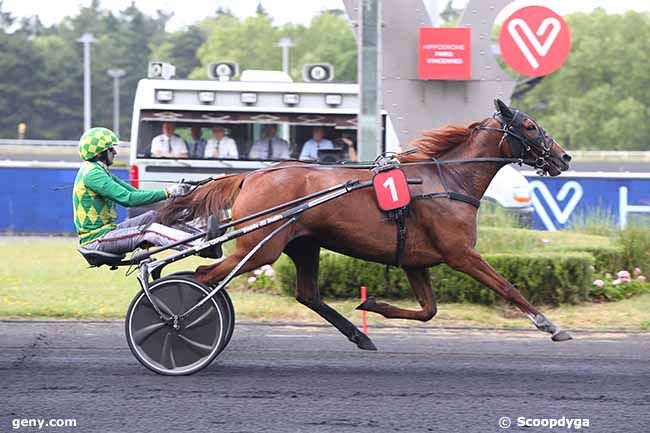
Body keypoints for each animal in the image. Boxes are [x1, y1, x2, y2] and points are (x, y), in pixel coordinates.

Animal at [159, 99, 568, 350]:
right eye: (530, 126)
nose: (564, 157)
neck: (449, 180)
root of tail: (251, 176)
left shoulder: (416, 260)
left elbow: (428, 311)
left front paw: (373, 303)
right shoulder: (460, 253)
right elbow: (507, 287)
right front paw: (550, 326)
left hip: (302, 243)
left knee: (307, 294)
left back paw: (360, 335)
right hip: (260, 247)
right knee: (203, 275)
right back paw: (178, 321)